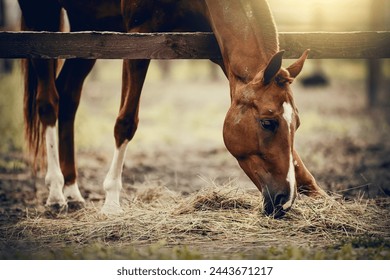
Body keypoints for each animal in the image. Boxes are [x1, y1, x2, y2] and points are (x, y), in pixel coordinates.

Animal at [17, 0, 322, 219]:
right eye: (267, 123)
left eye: (296, 124)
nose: (284, 199)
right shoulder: (137, 39)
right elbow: (125, 122)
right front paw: (112, 201)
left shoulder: (221, 54)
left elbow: (294, 157)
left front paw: (318, 196)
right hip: (41, 21)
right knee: (48, 102)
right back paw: (56, 193)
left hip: (90, 30)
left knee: (68, 97)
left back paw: (72, 190)